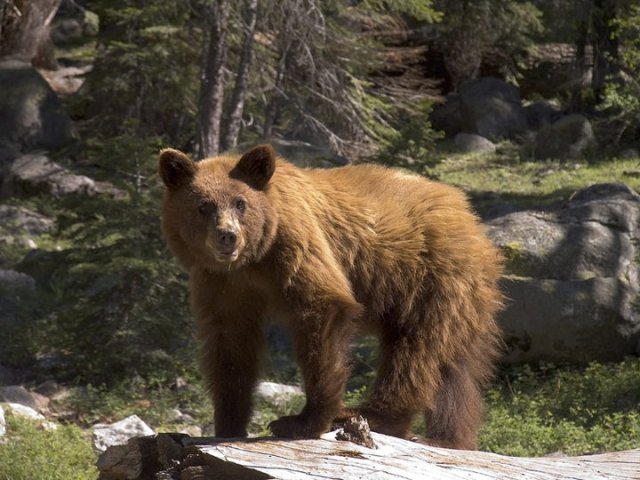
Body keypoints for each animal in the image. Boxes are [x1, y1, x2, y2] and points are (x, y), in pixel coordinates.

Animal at [158, 144, 503, 449]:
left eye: (241, 203)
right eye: (203, 206)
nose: (227, 236)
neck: (253, 262)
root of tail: (468, 215)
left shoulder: (296, 244)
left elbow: (321, 310)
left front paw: (303, 421)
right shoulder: (221, 283)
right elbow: (231, 346)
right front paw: (229, 425)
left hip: (430, 276)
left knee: (417, 348)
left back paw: (372, 414)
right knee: (456, 369)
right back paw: (446, 438)